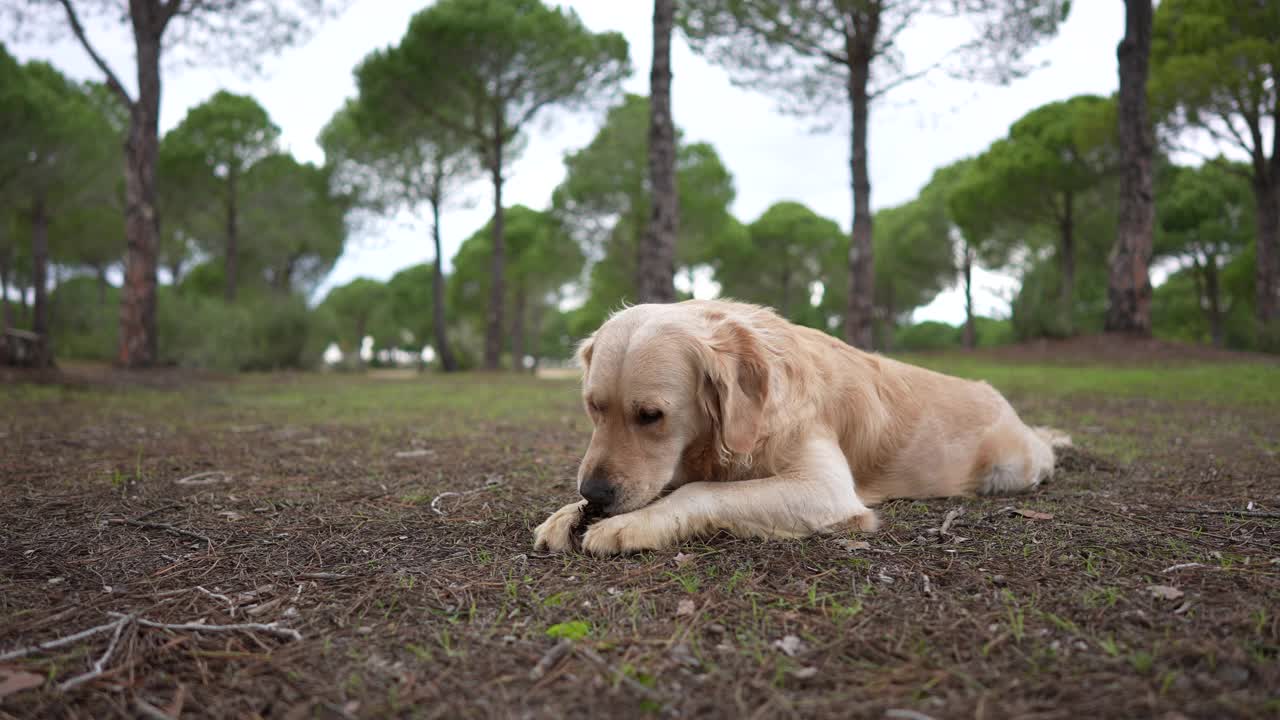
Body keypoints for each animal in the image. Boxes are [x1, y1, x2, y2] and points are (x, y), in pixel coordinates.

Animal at [532, 298, 1070, 556]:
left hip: (1012, 466)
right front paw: (567, 513)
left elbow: (700, 491)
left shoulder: (825, 487)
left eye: (651, 416)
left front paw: (628, 525)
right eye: (594, 407)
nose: (596, 493)